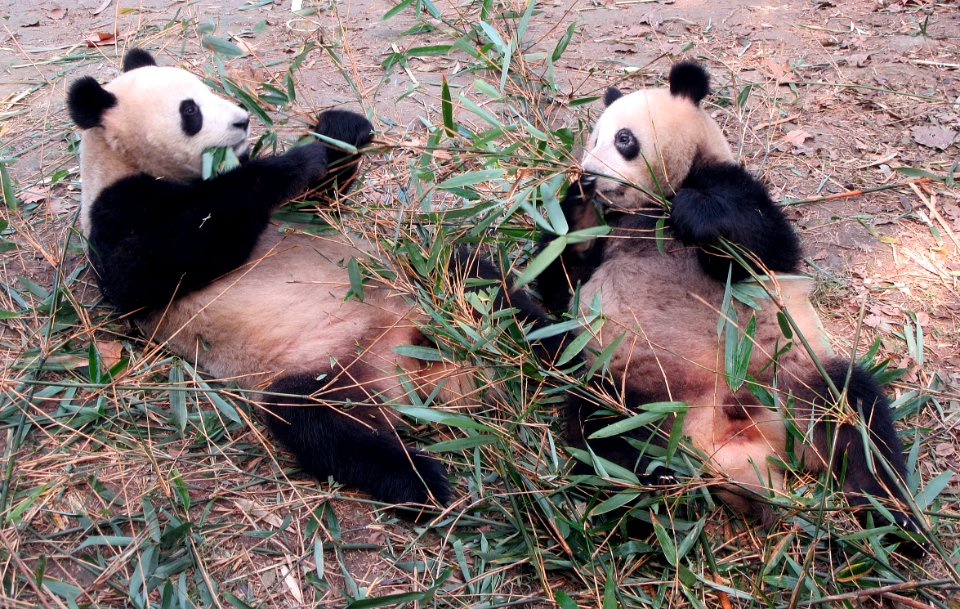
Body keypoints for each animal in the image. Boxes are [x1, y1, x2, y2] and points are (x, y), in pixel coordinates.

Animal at [67, 47, 556, 516]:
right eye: (191, 111)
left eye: (207, 89)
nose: (243, 120)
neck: (121, 159)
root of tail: (419, 364)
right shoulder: (115, 213)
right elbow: (154, 264)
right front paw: (288, 162)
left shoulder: (296, 214)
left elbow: (318, 200)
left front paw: (342, 129)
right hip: (323, 366)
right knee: (320, 424)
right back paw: (425, 484)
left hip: (422, 284)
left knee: (479, 283)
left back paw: (556, 358)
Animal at [536, 60, 928, 548]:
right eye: (591, 140)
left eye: (623, 138)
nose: (589, 176)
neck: (647, 213)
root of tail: (738, 443)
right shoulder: (599, 239)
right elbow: (558, 282)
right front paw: (575, 204)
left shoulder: (731, 187)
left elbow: (766, 245)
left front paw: (696, 214)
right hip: (632, 390)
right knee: (600, 429)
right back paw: (660, 488)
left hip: (790, 379)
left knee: (857, 413)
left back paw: (894, 521)